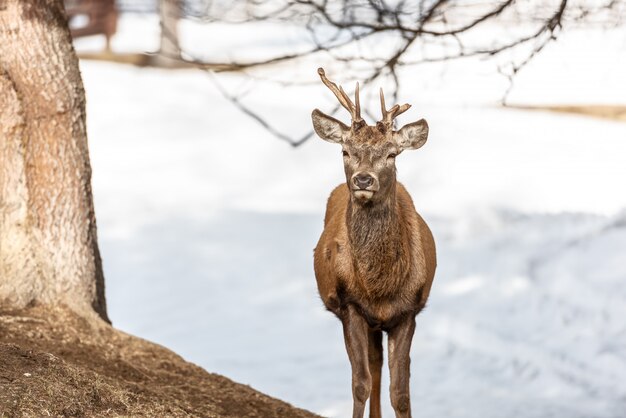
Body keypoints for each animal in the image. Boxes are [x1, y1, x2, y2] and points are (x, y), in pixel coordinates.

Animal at [310, 69, 434, 418]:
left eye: (392, 154)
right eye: (345, 151)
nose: (363, 179)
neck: (379, 287)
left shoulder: (409, 310)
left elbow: (401, 391)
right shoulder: (349, 304)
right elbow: (360, 383)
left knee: (380, 366)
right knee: (372, 367)